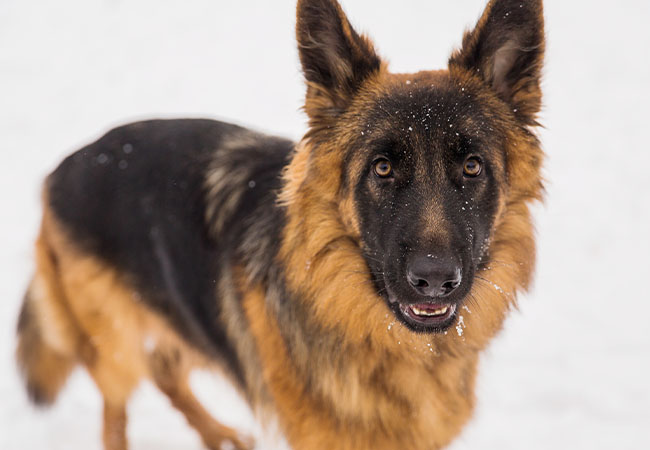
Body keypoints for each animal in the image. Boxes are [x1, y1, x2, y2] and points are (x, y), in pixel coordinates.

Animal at [15, 0, 540, 448]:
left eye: (472, 167)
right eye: (382, 168)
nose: (434, 280)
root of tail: (63, 168)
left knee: (165, 370)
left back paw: (218, 435)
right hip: (115, 346)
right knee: (117, 408)